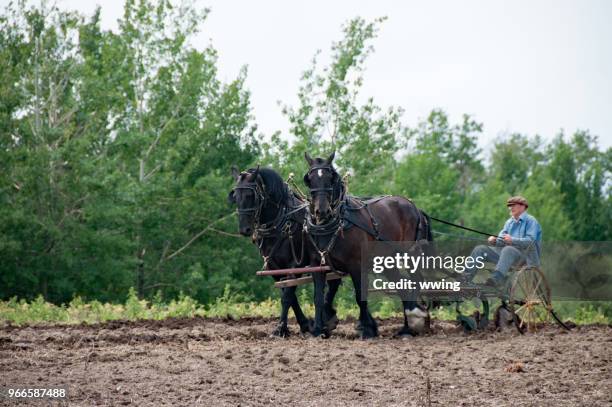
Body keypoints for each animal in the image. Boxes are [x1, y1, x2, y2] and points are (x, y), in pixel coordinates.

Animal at [228, 166, 342, 338]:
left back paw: (327, 319)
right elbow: (288, 294)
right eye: (235, 196)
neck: (280, 222)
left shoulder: (295, 265)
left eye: (250, 195)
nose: (244, 229)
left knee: (333, 283)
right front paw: (304, 324)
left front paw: (281, 328)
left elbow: (287, 296)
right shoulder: (274, 267)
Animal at [304, 152, 432, 338]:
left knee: (415, 280)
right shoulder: (317, 265)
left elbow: (360, 296)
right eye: (309, 179)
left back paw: (413, 318)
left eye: (331, 178)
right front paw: (318, 330)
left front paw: (366, 329)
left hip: (409, 253)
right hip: (388, 260)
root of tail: (415, 207)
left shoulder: (356, 264)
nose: (321, 211)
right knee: (400, 284)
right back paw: (405, 328)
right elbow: (318, 298)